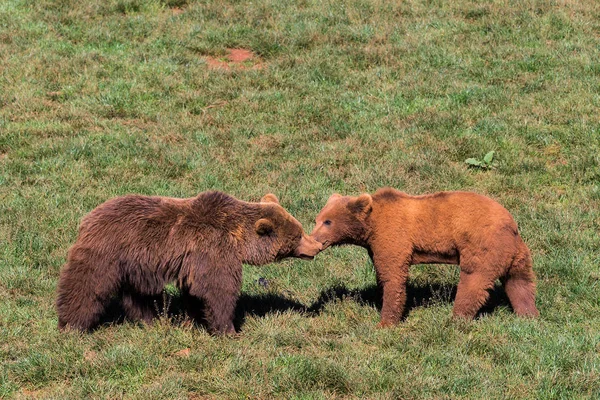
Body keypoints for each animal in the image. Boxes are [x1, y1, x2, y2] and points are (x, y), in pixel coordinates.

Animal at [56, 191, 322, 334]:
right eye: (298, 235)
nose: (317, 246)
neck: (237, 238)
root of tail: (88, 218)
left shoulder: (196, 260)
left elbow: (195, 292)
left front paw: (193, 319)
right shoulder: (213, 249)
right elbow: (217, 289)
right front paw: (229, 329)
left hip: (136, 265)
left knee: (139, 296)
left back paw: (153, 319)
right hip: (107, 253)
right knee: (85, 286)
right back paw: (70, 325)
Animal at [310, 189, 540, 326]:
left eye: (328, 222)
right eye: (317, 219)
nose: (314, 239)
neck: (370, 227)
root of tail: (511, 223)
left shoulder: (393, 236)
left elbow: (393, 277)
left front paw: (386, 321)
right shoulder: (375, 246)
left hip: (483, 245)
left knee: (473, 281)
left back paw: (456, 319)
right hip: (516, 253)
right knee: (520, 284)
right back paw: (528, 315)